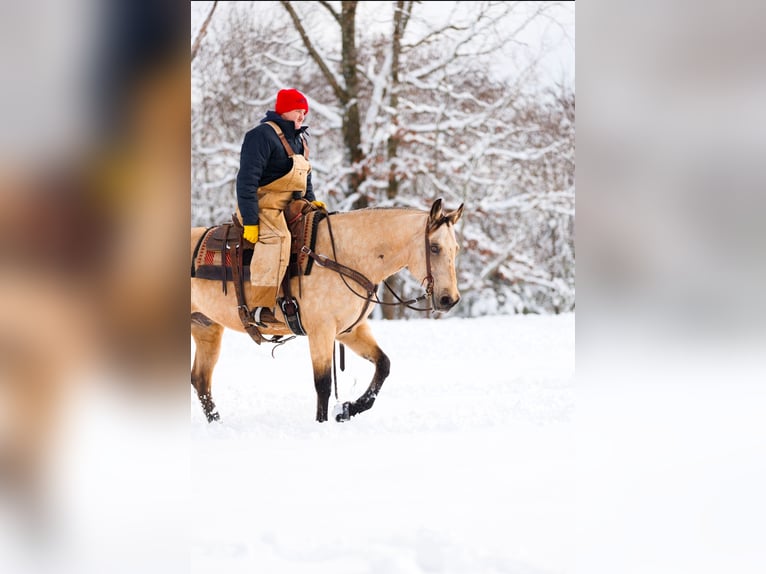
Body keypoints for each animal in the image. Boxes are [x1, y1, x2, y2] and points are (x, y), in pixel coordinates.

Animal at [192, 198, 468, 424]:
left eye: (456, 249)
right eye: (434, 247)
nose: (450, 299)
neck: (345, 257)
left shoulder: (349, 330)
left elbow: (383, 365)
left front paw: (346, 410)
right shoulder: (321, 330)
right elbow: (323, 384)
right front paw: (322, 423)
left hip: (206, 328)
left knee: (201, 380)